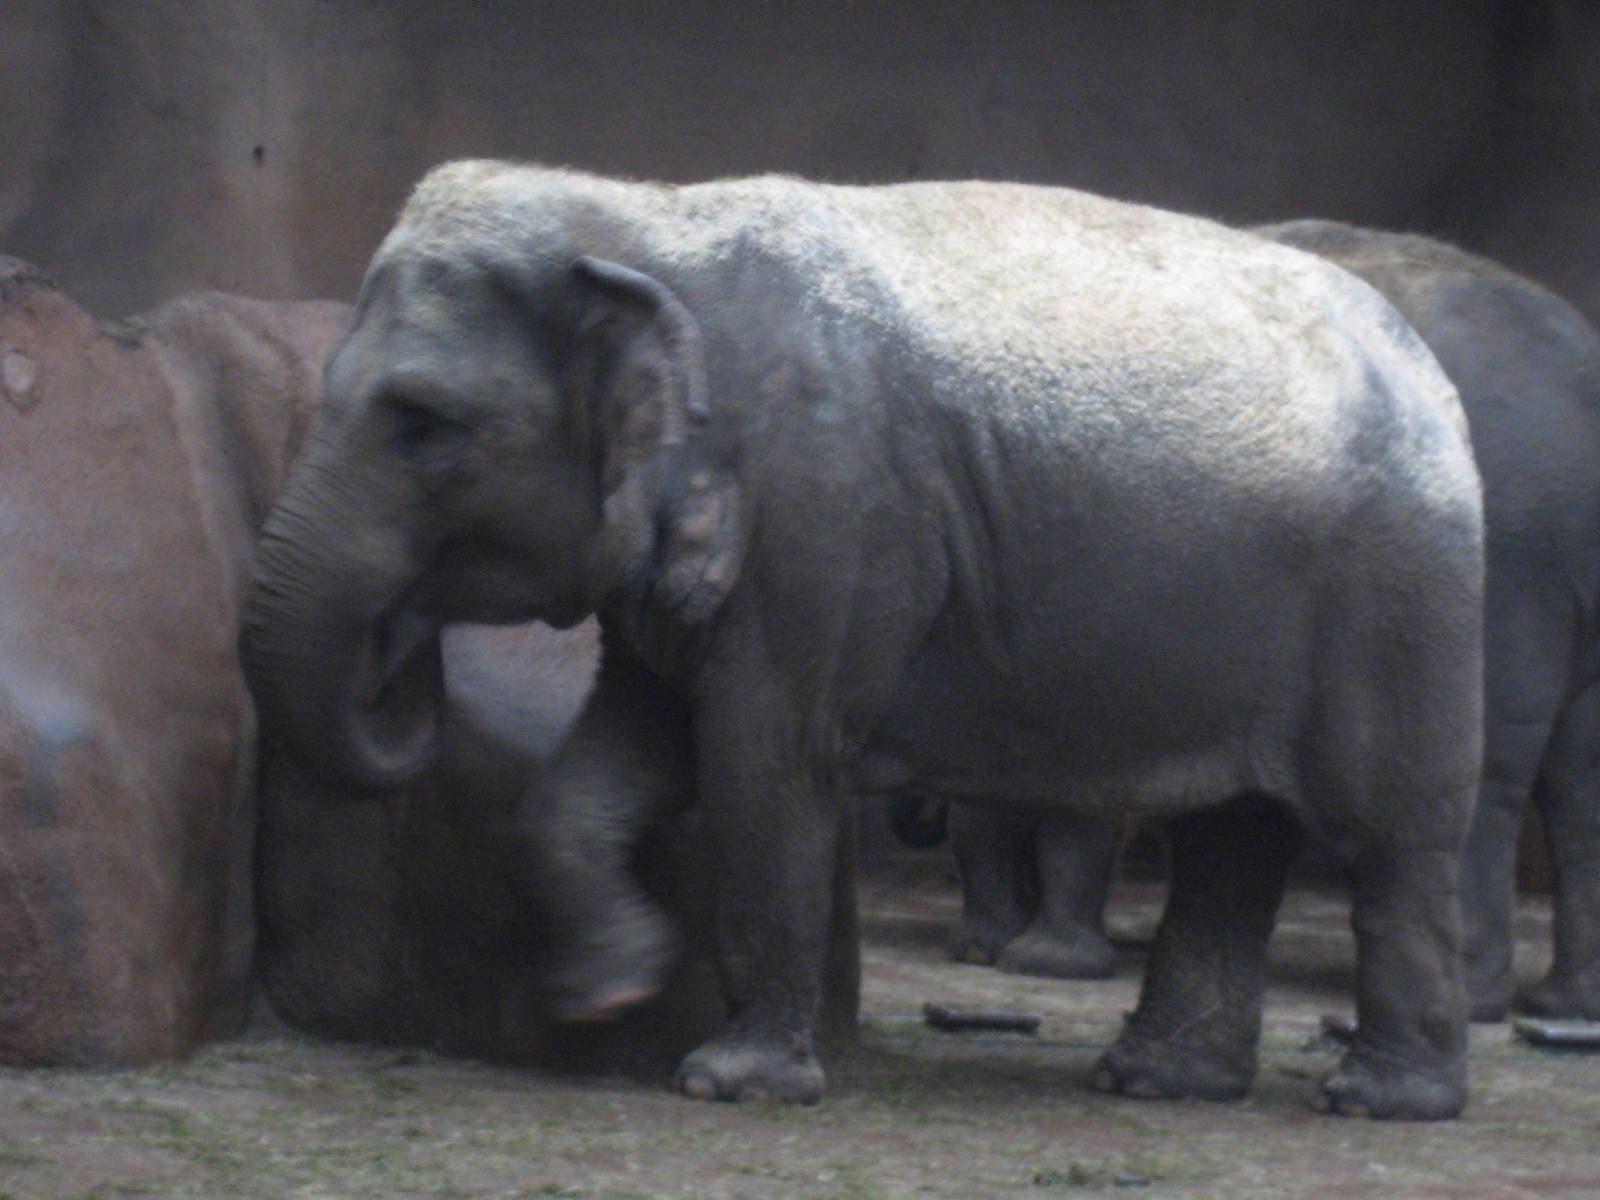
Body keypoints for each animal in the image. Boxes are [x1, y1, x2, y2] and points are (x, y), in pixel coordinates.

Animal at [241, 161, 1484, 1118]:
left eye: (422, 424)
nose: (405, 653)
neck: (652, 217)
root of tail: (1431, 377)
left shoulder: (824, 514)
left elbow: (764, 765)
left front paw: (730, 1083)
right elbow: (621, 753)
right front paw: (609, 989)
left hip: (1399, 599)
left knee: (1392, 833)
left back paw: (1378, 1100)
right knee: (1234, 839)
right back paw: (1154, 1081)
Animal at [945, 222, 1600, 1024]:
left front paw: (1039, 963)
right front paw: (992, 948)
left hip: (1493, 562)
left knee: (1481, 761)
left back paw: (1478, 1003)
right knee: (1580, 781)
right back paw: (1567, 1006)